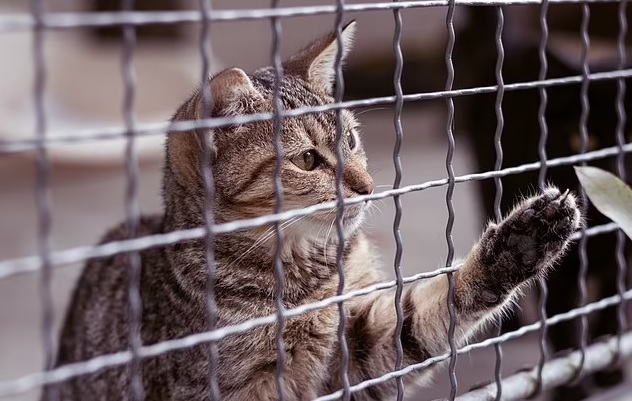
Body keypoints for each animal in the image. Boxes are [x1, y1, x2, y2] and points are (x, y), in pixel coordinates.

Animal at [43, 21, 582, 401]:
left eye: (352, 141)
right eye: (307, 160)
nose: (368, 187)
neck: (305, 279)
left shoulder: (365, 346)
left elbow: (432, 311)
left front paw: (521, 243)